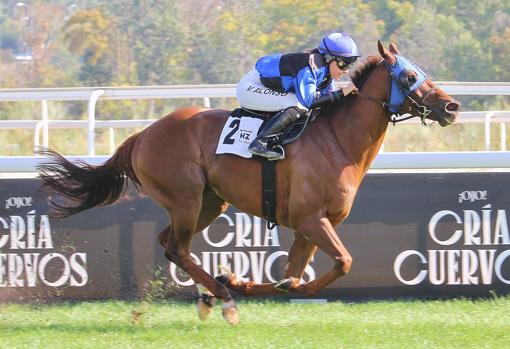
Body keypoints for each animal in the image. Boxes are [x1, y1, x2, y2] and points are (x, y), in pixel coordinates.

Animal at [37, 40, 460, 324]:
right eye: (409, 75)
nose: (452, 106)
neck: (338, 140)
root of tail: (141, 135)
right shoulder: (311, 219)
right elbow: (342, 263)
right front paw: (236, 282)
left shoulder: (309, 226)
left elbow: (293, 277)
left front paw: (244, 279)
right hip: (186, 198)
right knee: (177, 248)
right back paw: (223, 297)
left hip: (211, 202)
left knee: (169, 243)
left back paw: (213, 293)